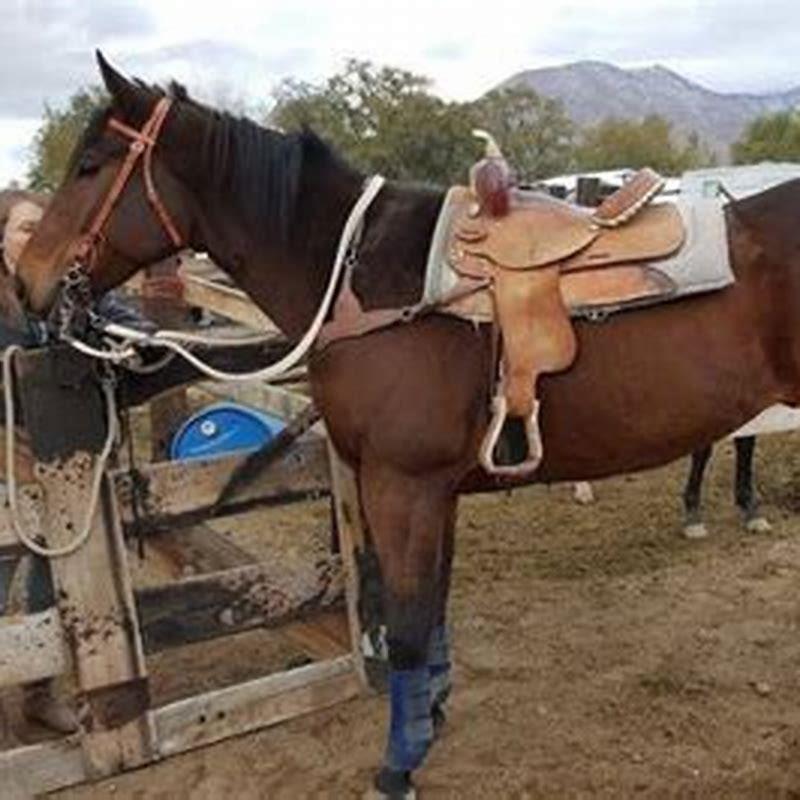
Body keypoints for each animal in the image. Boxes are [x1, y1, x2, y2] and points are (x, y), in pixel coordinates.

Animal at [16, 53, 800, 798]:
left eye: (90, 165)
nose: (26, 279)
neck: (360, 278)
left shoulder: (404, 484)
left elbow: (409, 624)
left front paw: (399, 763)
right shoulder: (435, 489)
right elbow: (435, 606)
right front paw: (430, 715)